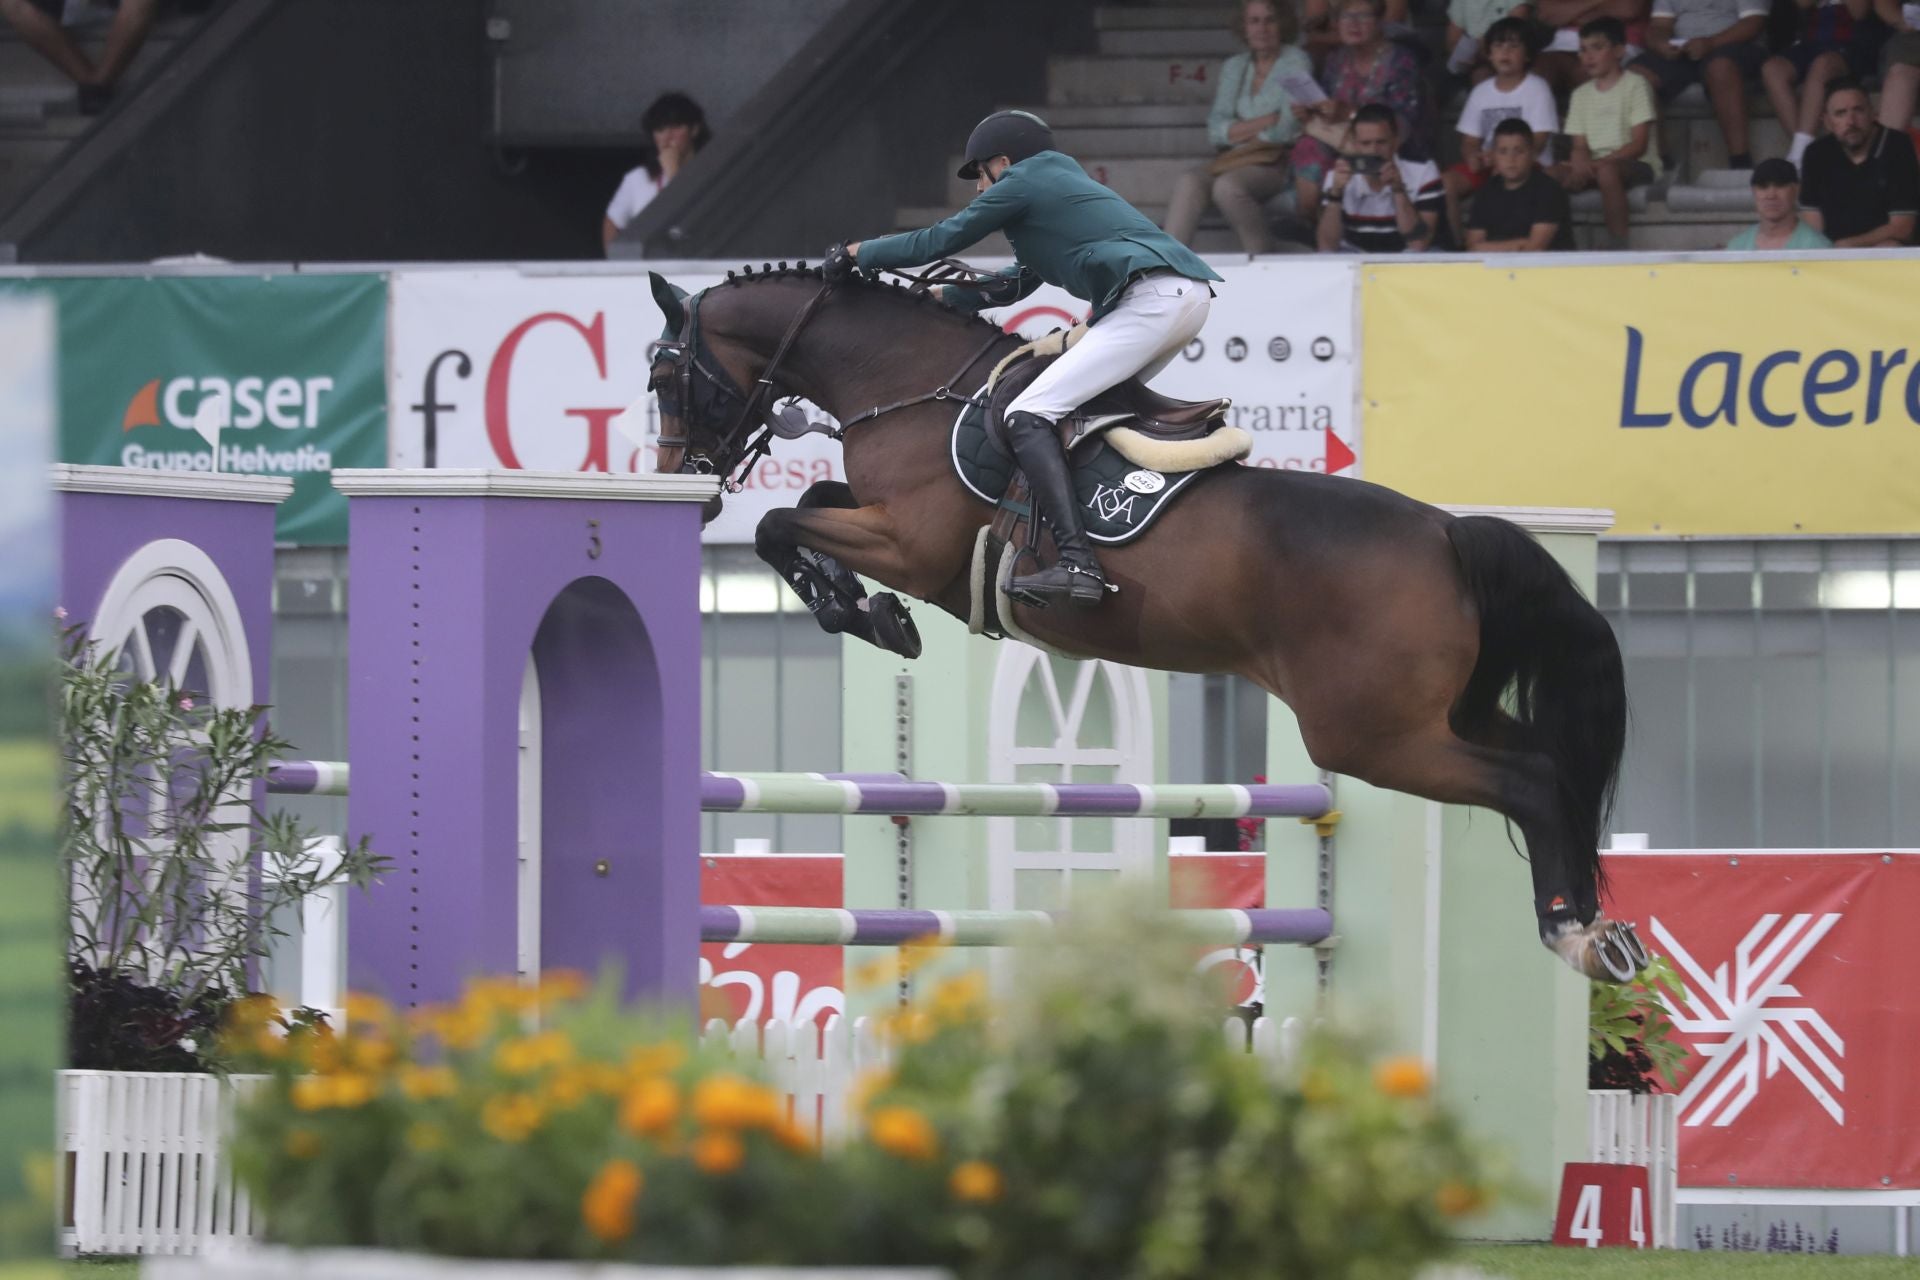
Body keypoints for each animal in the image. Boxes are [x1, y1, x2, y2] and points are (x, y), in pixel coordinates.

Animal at [648, 262, 1651, 982]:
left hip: (1372, 734)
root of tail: (1447, 532)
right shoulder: (881, 522)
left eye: (667, 376)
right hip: (1438, 714)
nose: (684, 486)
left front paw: (860, 611)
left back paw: (1572, 933)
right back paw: (1599, 931)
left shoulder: (912, 544)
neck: (911, 384)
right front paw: (859, 605)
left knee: (1529, 782)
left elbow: (783, 523)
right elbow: (806, 506)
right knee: (1549, 765)